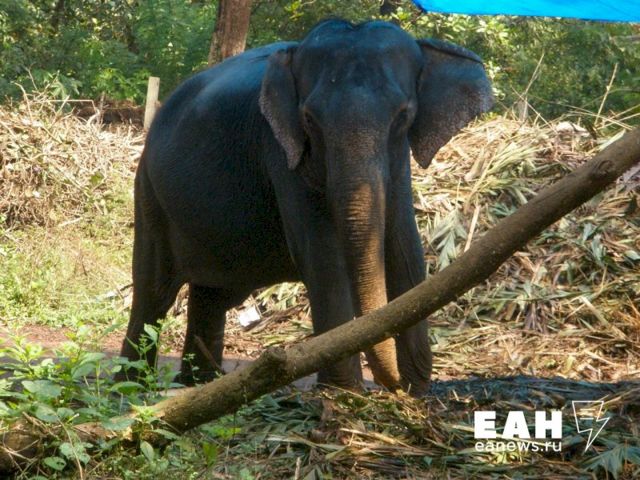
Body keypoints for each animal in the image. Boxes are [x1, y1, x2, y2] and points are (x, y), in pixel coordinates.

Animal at [119, 18, 493, 397]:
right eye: (310, 119)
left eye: (403, 116)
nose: (393, 385)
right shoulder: (279, 150)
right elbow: (323, 258)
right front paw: (345, 393)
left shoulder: (399, 162)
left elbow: (405, 248)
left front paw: (416, 390)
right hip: (149, 195)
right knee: (153, 294)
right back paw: (132, 388)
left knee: (213, 295)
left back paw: (199, 386)